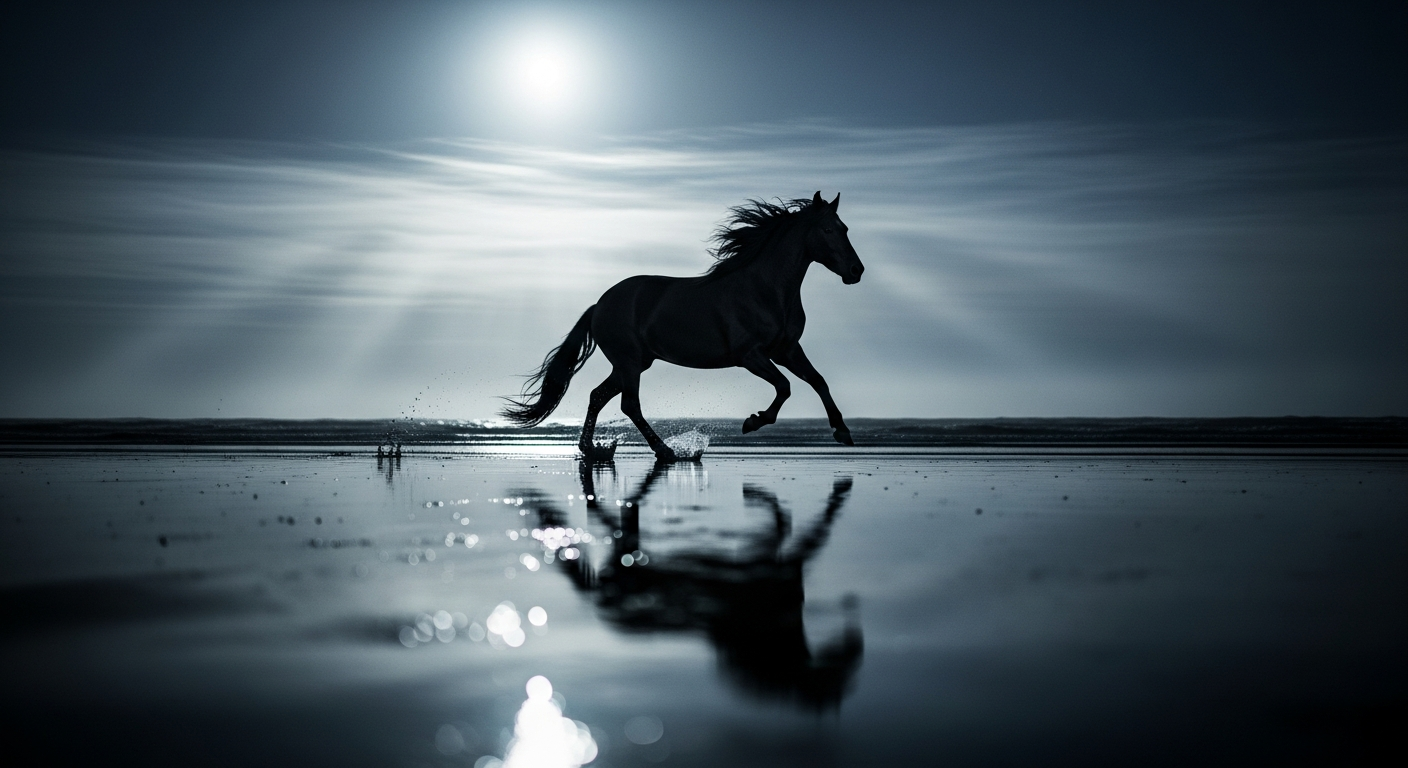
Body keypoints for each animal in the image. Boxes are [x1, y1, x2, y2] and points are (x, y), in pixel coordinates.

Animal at [502, 191, 865, 461]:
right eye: (828, 230)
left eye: (845, 228)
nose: (856, 271)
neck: (765, 289)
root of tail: (598, 306)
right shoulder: (752, 356)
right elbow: (785, 387)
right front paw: (753, 422)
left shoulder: (787, 350)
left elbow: (818, 381)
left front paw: (842, 432)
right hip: (629, 362)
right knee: (628, 404)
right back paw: (666, 452)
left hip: (633, 363)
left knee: (598, 395)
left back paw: (593, 450)